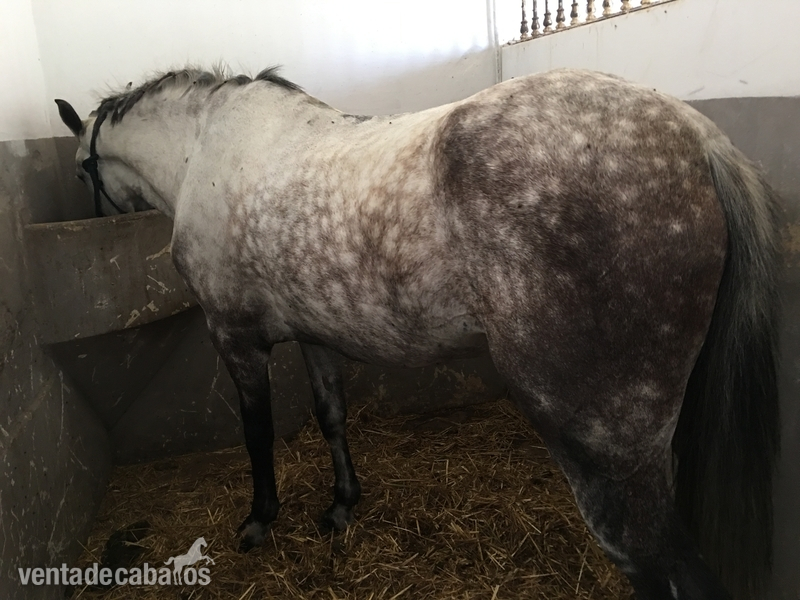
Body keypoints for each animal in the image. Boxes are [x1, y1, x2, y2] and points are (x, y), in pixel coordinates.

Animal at [55, 65, 781, 600]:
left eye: (82, 169)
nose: (90, 217)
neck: (204, 150)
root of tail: (696, 135)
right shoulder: (315, 335)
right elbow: (331, 417)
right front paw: (341, 506)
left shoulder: (235, 339)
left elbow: (255, 434)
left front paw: (261, 519)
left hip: (603, 447)